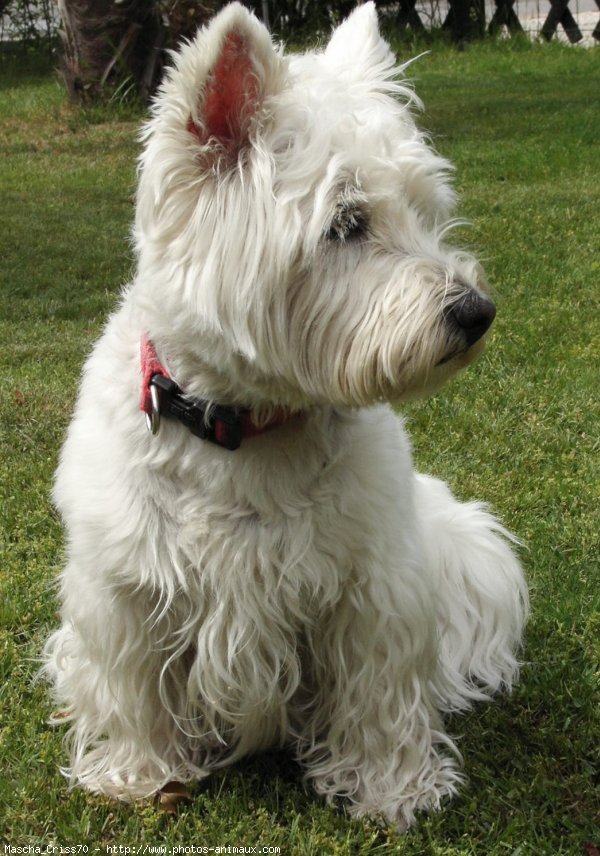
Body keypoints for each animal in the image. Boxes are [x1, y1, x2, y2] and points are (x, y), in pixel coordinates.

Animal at [43, 0, 524, 828]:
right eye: (347, 222)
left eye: (422, 209)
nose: (476, 312)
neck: (244, 427)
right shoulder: (126, 588)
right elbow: (135, 687)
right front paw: (139, 775)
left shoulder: (374, 586)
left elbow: (377, 693)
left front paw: (392, 790)